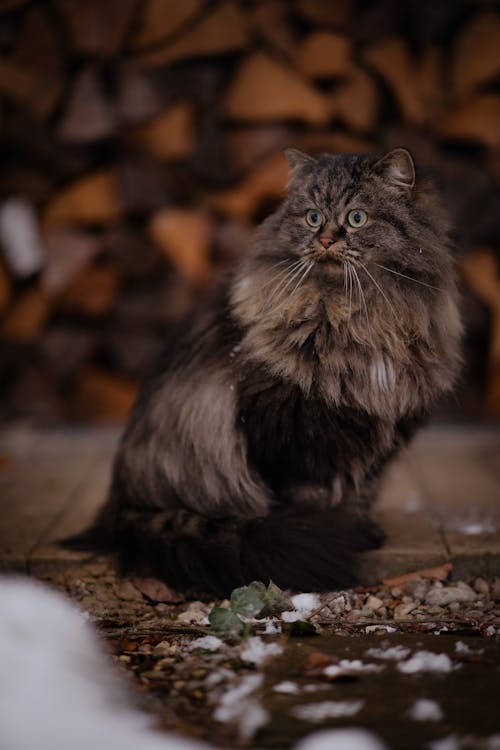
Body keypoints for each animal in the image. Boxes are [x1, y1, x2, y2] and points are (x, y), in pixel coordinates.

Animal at [81, 148, 460, 600]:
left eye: (357, 218)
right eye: (312, 217)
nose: (326, 240)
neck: (357, 318)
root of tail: (123, 505)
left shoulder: (379, 428)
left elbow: (359, 490)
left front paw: (361, 532)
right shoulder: (285, 431)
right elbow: (308, 493)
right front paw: (327, 533)